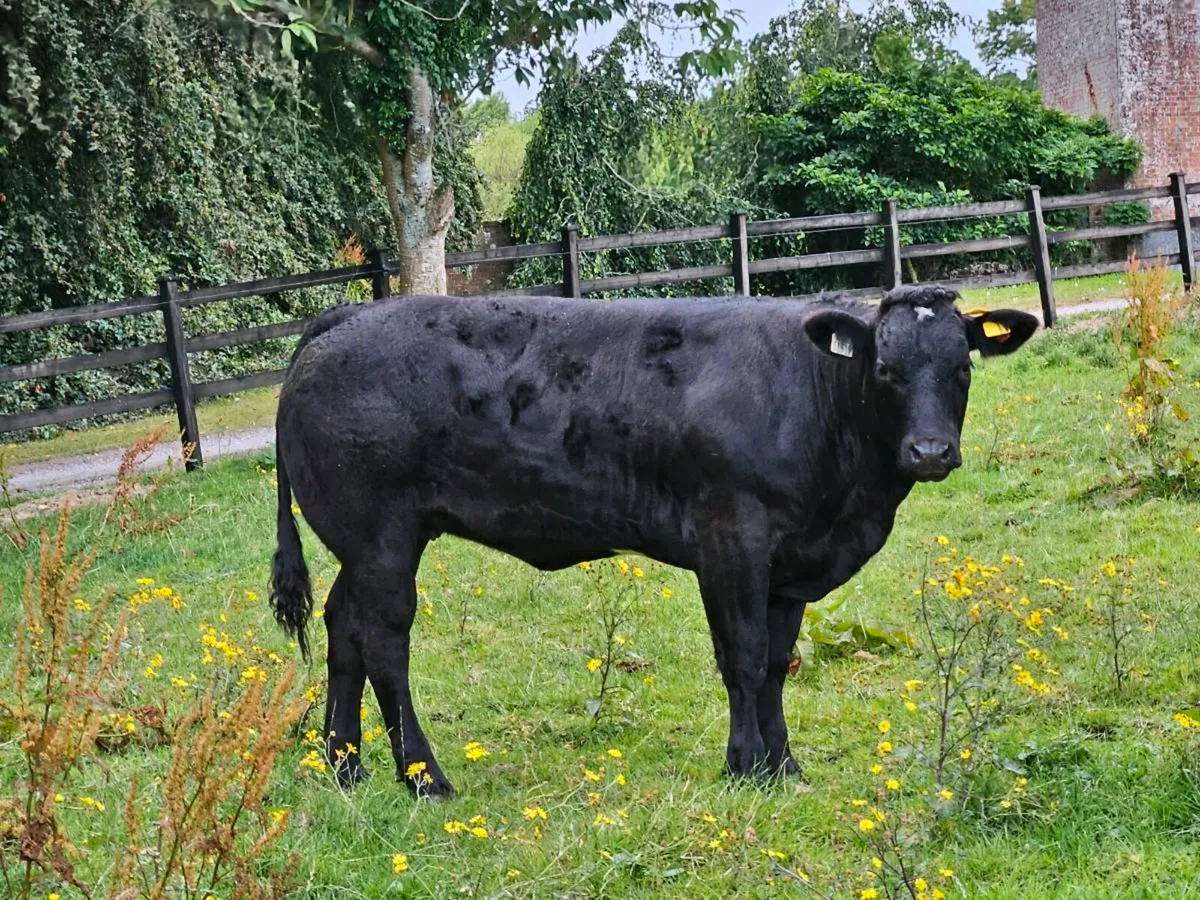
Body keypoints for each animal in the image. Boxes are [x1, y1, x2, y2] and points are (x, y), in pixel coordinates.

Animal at [269, 285, 1039, 797]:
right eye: (885, 369)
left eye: (963, 367)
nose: (930, 450)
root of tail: (348, 316)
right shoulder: (732, 543)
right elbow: (744, 660)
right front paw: (745, 767)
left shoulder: (790, 564)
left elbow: (776, 663)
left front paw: (784, 766)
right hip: (382, 537)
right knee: (385, 643)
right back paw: (425, 778)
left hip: (362, 544)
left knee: (344, 629)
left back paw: (345, 765)